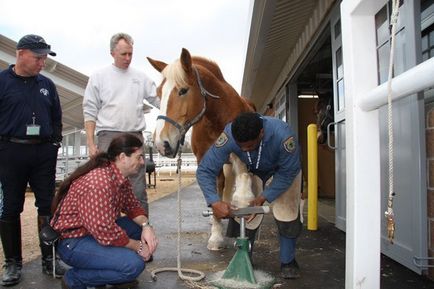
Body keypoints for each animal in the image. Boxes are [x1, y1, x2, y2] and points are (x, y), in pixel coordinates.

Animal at [147, 47, 258, 250]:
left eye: (183, 90)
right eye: (159, 93)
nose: (161, 143)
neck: (217, 120)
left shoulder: (241, 157)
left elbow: (243, 192)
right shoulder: (206, 160)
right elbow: (215, 195)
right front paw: (216, 236)